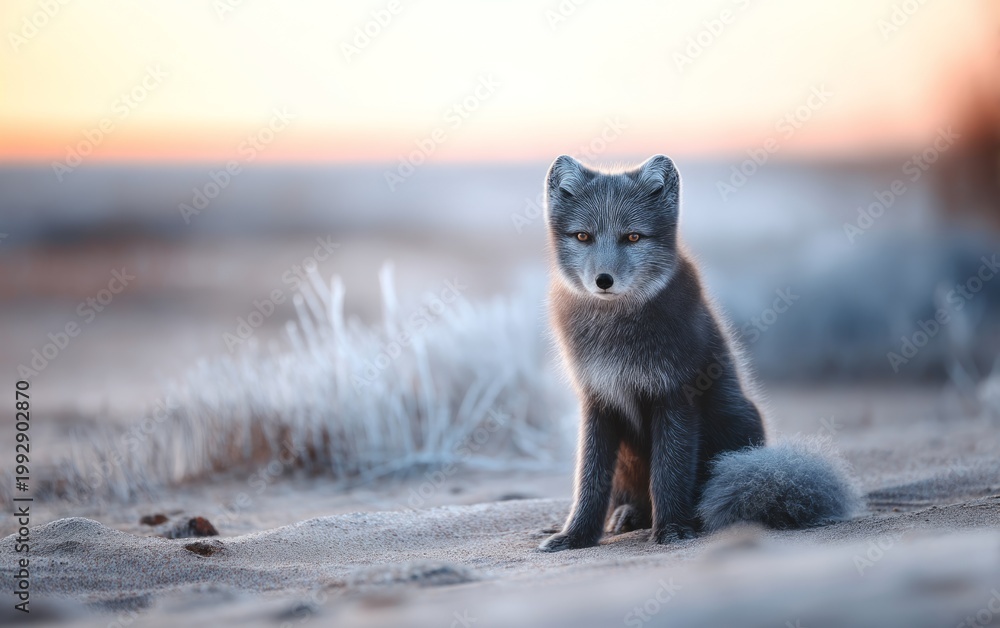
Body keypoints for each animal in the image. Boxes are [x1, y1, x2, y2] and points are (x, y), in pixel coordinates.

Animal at [538, 154, 860, 551]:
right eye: (583, 236)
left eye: (633, 237)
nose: (603, 281)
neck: (617, 335)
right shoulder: (597, 401)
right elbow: (589, 480)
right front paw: (576, 535)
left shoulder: (676, 396)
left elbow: (670, 473)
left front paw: (673, 529)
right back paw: (629, 515)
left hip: (736, 424)